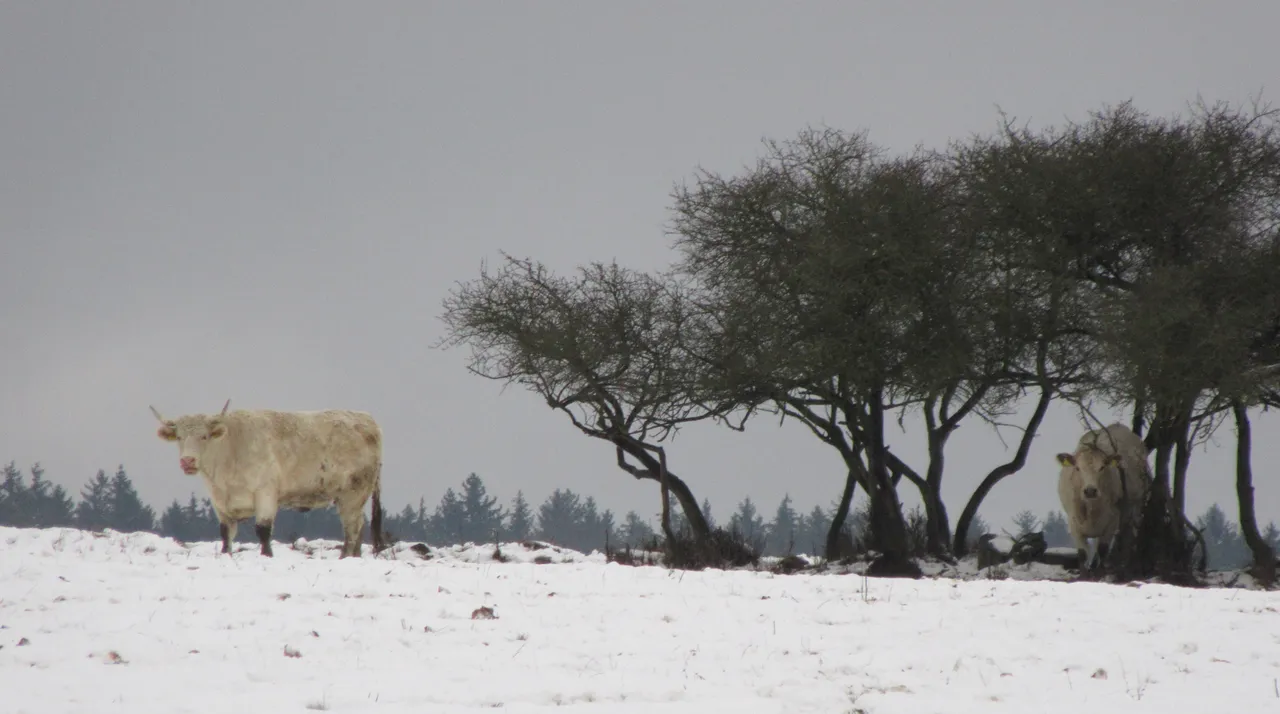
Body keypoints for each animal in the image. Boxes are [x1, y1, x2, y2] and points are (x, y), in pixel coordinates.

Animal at [149, 404, 384, 560]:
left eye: (204, 436)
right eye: (179, 437)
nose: (187, 461)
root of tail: (366, 420)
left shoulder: (266, 493)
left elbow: (263, 530)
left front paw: (267, 556)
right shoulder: (220, 503)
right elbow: (226, 534)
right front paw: (226, 555)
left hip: (352, 495)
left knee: (352, 529)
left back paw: (345, 557)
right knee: (359, 527)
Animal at [1054, 424, 1157, 570]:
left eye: (1102, 467)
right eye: (1077, 468)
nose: (1090, 490)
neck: (1092, 510)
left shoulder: (1112, 521)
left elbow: (1102, 550)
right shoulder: (1074, 523)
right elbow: (1082, 554)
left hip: (1136, 510)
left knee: (1129, 539)